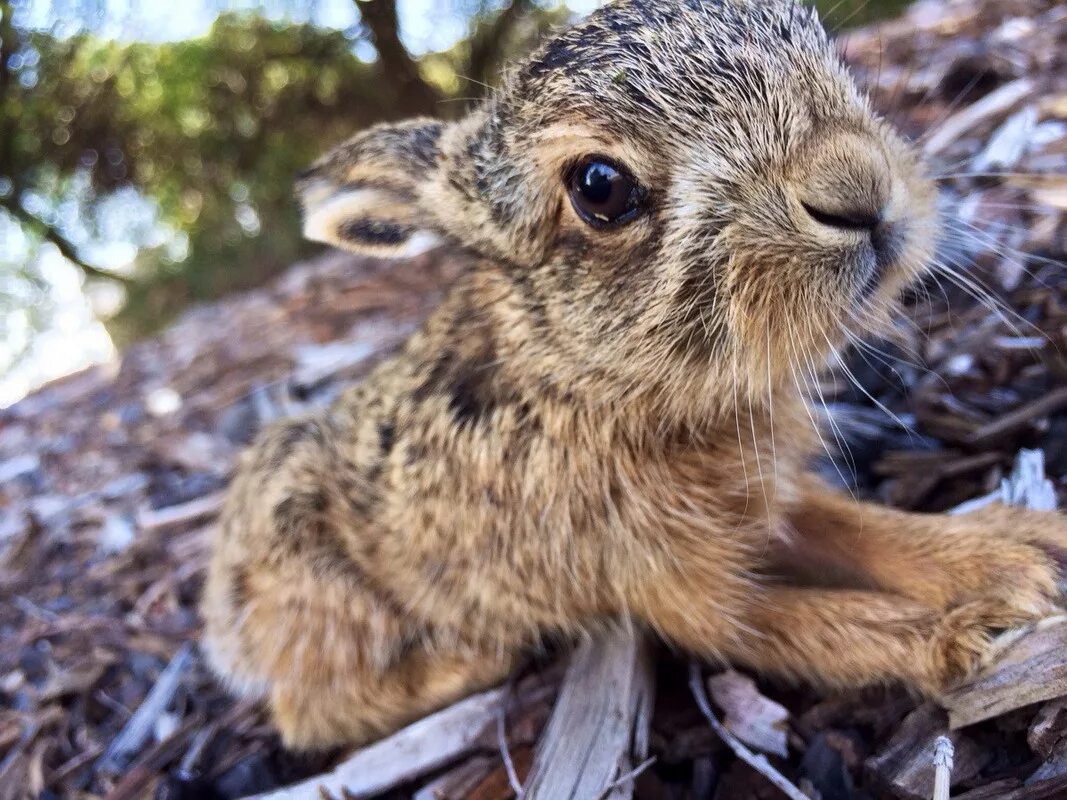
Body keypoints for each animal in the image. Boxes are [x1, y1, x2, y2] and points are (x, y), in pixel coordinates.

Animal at [198, 0, 1067, 750]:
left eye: (816, 42)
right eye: (599, 188)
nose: (855, 186)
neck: (592, 381)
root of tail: (222, 619)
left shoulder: (765, 501)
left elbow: (867, 530)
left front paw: (1018, 549)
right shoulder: (668, 582)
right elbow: (807, 627)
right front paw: (972, 628)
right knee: (308, 714)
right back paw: (472, 663)